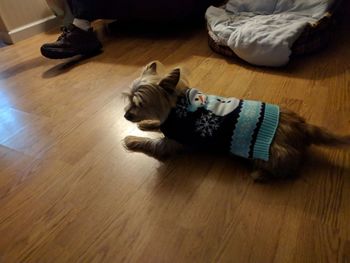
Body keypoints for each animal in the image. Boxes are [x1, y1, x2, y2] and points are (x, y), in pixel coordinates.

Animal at [122, 61, 350, 182]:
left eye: (140, 103)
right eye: (129, 99)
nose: (126, 116)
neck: (175, 106)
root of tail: (301, 126)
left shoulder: (173, 143)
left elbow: (154, 143)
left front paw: (132, 139)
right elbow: (158, 126)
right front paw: (147, 125)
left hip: (272, 155)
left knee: (287, 169)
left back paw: (260, 174)